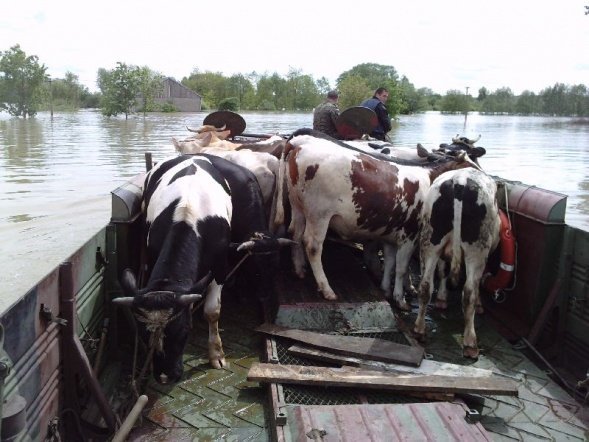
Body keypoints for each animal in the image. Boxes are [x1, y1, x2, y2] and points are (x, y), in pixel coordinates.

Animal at [111, 154, 290, 382]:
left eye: (184, 331)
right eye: (143, 334)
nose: (164, 377)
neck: (188, 218)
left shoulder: (220, 267)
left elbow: (212, 311)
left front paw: (217, 354)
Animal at [274, 129, 476, 310]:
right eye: (472, 167)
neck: (429, 180)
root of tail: (300, 144)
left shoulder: (393, 235)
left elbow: (391, 262)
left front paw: (387, 289)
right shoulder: (410, 234)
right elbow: (402, 267)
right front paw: (401, 299)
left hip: (298, 207)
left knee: (295, 233)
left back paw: (299, 269)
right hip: (319, 214)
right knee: (313, 246)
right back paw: (326, 289)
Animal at [414, 167, 500, 360]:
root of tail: (461, 180)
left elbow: (442, 272)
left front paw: (442, 298)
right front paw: (480, 306)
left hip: (430, 240)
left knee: (425, 285)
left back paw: (420, 330)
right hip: (477, 249)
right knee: (469, 292)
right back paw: (470, 343)